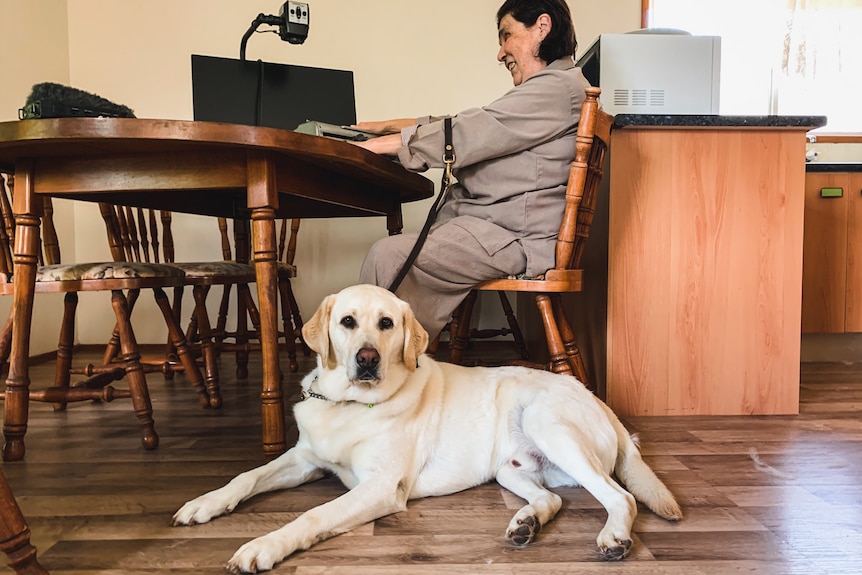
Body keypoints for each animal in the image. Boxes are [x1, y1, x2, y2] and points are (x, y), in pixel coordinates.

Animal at [174, 286, 680, 572]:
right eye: (347, 322)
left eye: (386, 323)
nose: (367, 358)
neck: (348, 404)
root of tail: (600, 401)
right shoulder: (304, 459)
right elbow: (247, 476)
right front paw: (205, 503)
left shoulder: (380, 487)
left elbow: (313, 515)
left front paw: (263, 545)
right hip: (510, 468)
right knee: (551, 499)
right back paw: (525, 524)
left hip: (547, 423)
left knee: (621, 496)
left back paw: (613, 538)